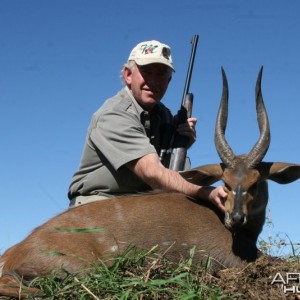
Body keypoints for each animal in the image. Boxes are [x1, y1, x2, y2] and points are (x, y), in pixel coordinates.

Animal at [1, 66, 300, 298]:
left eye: (255, 182)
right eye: (225, 183)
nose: (235, 218)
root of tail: (15, 251)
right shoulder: (228, 259)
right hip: (81, 270)